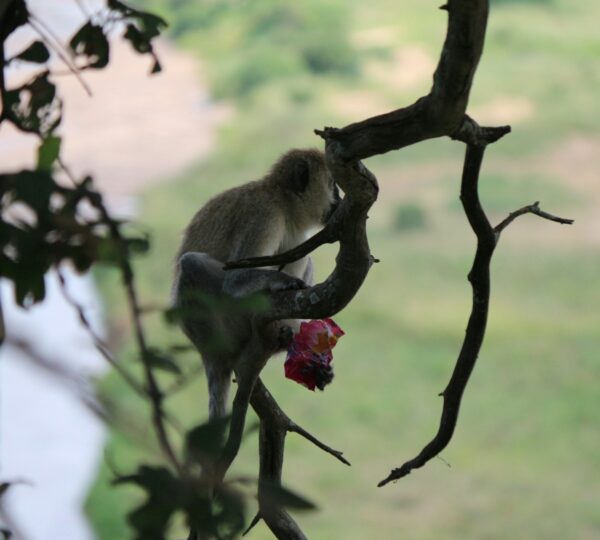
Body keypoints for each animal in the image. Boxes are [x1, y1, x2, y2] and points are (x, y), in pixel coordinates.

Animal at [173, 150, 342, 436]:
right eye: (333, 185)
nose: (340, 200)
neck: (283, 203)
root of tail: (206, 351)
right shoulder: (264, 215)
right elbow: (235, 280)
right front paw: (284, 281)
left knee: (303, 259)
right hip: (229, 323)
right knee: (191, 264)